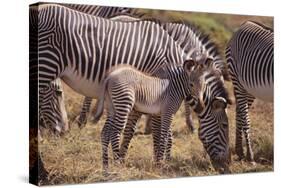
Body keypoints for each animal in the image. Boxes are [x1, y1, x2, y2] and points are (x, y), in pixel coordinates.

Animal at [224, 20, 272, 162]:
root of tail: (245, 23)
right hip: (238, 81)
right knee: (244, 115)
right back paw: (249, 155)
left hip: (250, 88)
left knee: (240, 111)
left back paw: (240, 151)